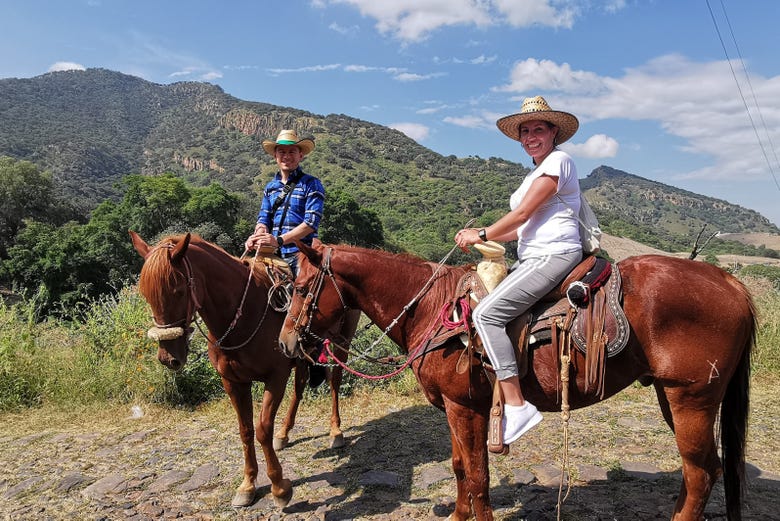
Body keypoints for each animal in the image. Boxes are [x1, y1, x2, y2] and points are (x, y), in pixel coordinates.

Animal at [130, 232, 356, 508]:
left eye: (178, 290)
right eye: (146, 295)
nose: (168, 358)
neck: (244, 314)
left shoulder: (275, 377)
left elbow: (262, 429)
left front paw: (279, 487)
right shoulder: (233, 382)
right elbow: (246, 431)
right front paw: (248, 485)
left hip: (342, 343)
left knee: (334, 382)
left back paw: (336, 431)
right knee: (300, 387)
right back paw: (285, 433)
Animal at [278, 242, 756, 520]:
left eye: (300, 288)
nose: (285, 343)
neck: (432, 309)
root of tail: (732, 283)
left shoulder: (465, 408)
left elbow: (476, 475)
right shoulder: (458, 408)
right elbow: (460, 469)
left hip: (690, 398)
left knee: (700, 474)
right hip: (672, 396)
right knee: (705, 471)